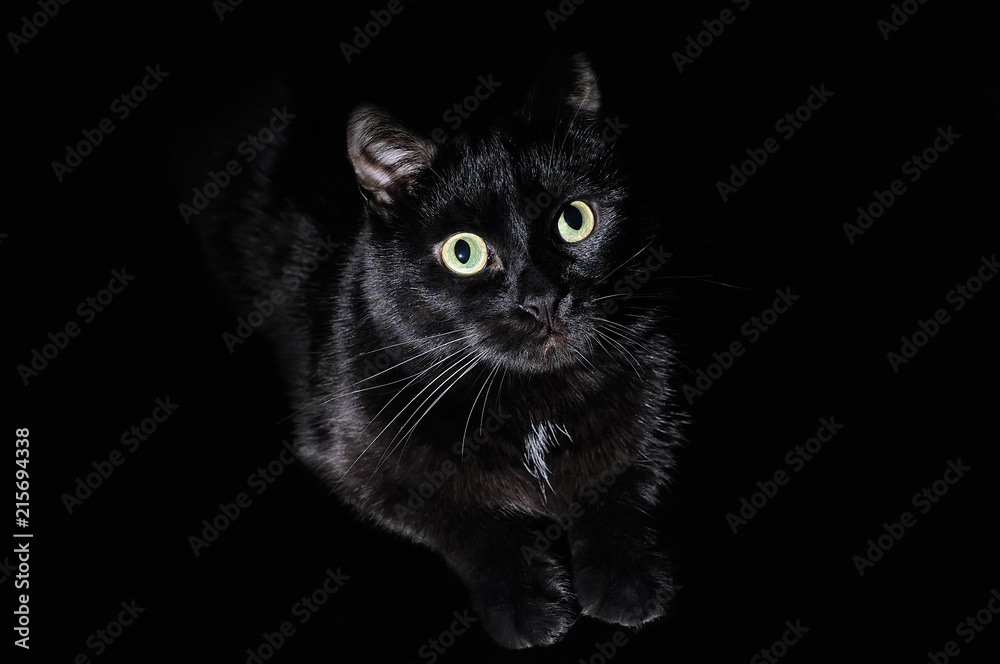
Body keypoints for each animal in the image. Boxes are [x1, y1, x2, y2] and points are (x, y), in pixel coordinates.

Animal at [192, 54, 684, 652]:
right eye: (463, 252)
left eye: (575, 219)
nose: (542, 299)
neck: (531, 402)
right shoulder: (349, 456)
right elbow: (464, 517)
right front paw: (526, 606)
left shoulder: (658, 396)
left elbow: (624, 479)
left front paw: (624, 581)